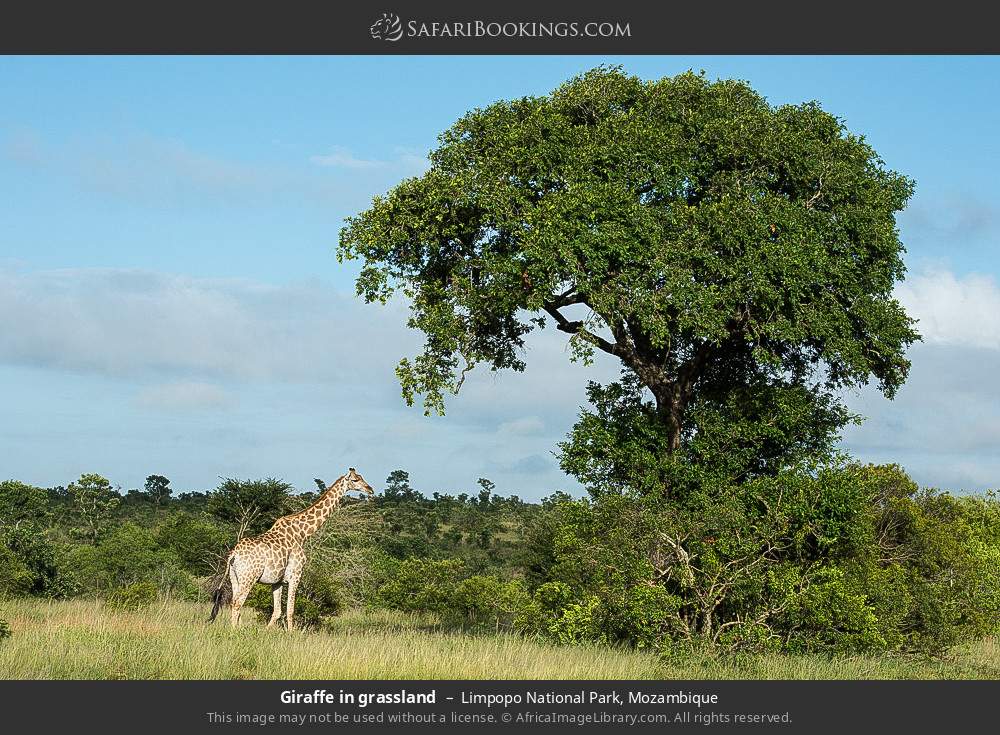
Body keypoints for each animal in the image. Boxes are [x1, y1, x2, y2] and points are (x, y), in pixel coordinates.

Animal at [209, 468, 375, 630]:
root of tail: (234, 554)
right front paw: (291, 633)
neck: (302, 533)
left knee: (234, 602)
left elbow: (277, 611)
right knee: (238, 603)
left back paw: (238, 629)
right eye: (355, 480)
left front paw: (268, 632)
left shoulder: (277, 581)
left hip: (234, 577)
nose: (370, 489)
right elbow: (290, 609)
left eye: (361, 477)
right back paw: (234, 632)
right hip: (249, 576)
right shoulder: (296, 574)